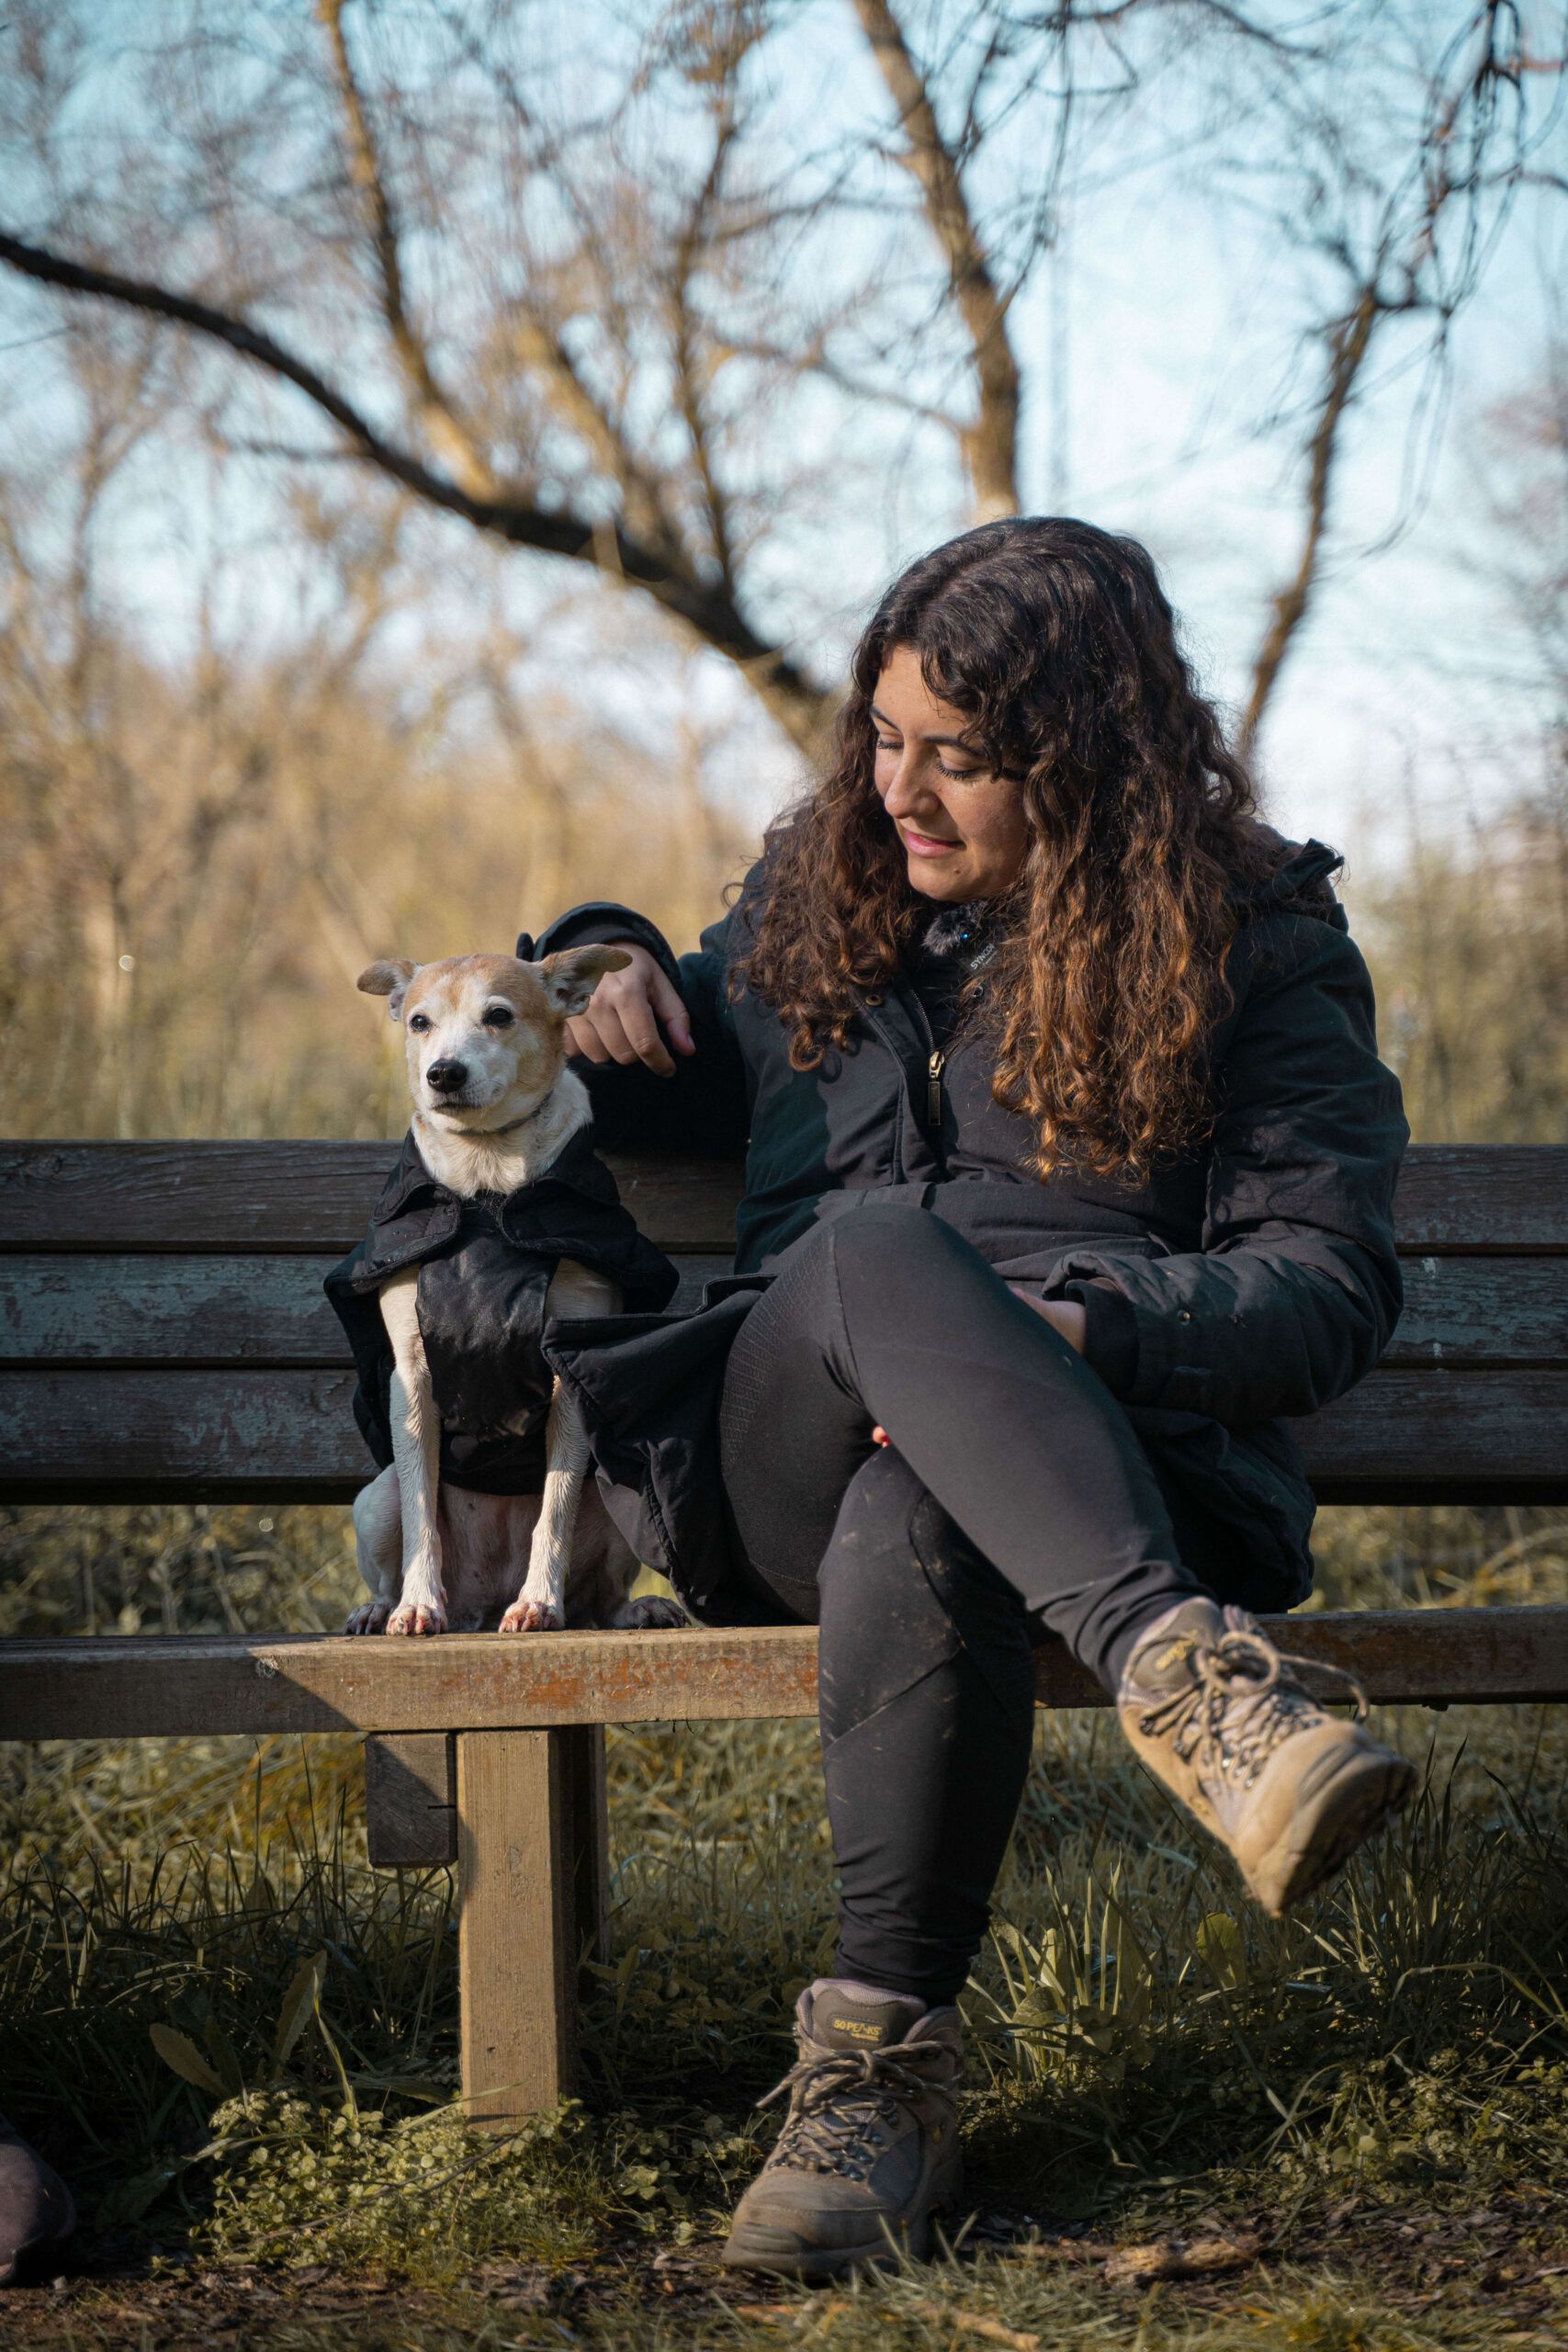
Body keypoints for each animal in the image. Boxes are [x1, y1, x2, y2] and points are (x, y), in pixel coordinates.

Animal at [333, 945, 682, 1646]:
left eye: (498, 1016)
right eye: (419, 1022)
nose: (442, 1073)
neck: (486, 1188)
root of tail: (480, 1600)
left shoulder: (567, 1378)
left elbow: (555, 1507)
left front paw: (539, 1602)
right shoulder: (412, 1381)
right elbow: (421, 1515)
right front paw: (417, 1604)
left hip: (620, 1498)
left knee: (601, 1596)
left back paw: (630, 1609)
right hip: (373, 1501)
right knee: (392, 1542)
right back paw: (380, 1609)